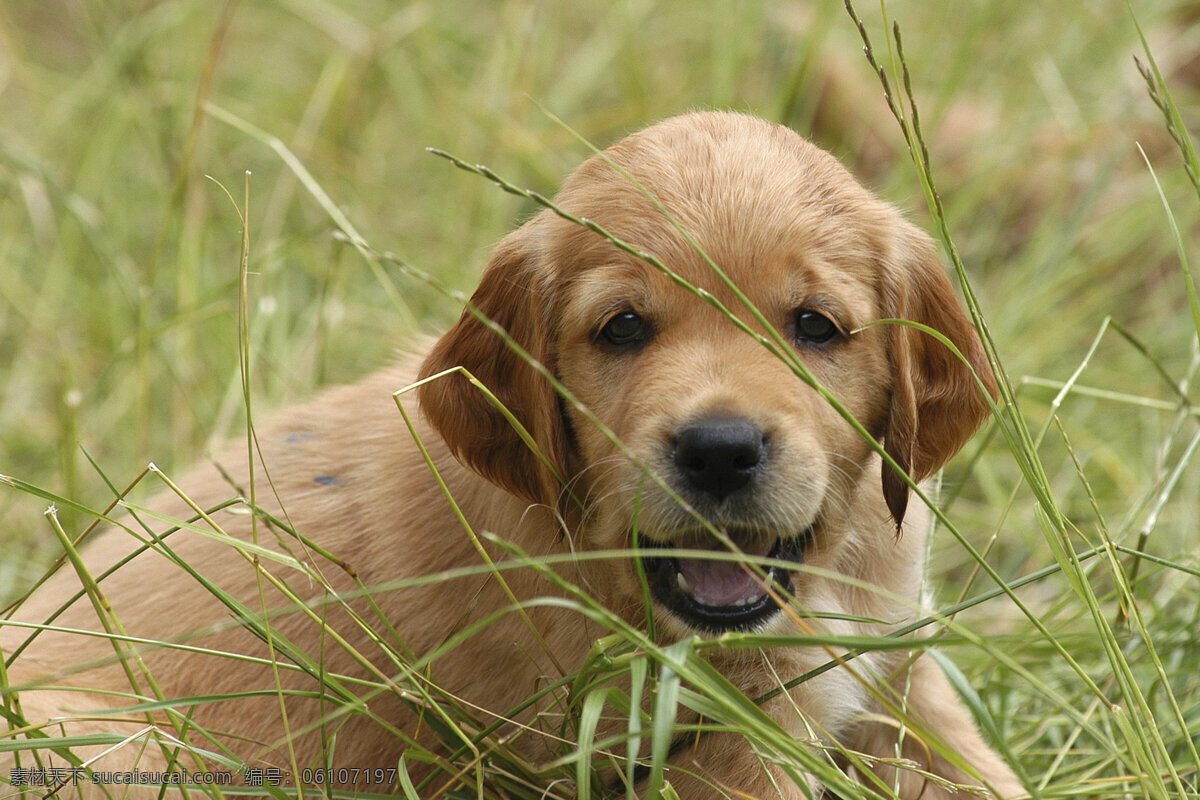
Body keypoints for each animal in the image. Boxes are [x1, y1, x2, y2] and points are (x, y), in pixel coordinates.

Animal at [4, 113, 1027, 800]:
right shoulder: (732, 741)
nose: (719, 450)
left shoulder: (897, 663)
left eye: (816, 326)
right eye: (622, 328)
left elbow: (979, 766)